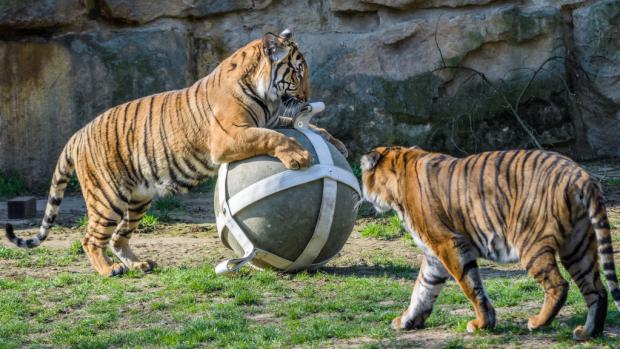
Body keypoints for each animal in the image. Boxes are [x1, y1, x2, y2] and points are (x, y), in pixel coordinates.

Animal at [4, 28, 346, 276]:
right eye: (298, 72)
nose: (308, 97)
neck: (265, 98)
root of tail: (77, 133)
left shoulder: (271, 119)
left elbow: (297, 126)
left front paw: (336, 141)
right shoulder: (230, 137)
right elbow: (272, 137)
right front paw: (299, 156)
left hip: (138, 199)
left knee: (118, 237)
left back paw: (140, 265)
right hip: (107, 197)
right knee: (91, 238)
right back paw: (109, 270)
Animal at [360, 145, 616, 340]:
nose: (364, 195)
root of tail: (579, 174)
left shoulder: (448, 244)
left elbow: (470, 286)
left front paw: (482, 323)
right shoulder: (434, 256)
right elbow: (423, 289)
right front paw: (406, 320)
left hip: (531, 243)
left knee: (559, 285)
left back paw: (537, 322)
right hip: (578, 245)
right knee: (597, 290)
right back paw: (588, 333)